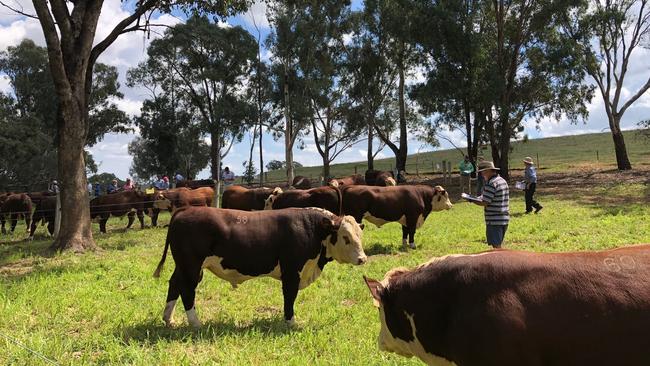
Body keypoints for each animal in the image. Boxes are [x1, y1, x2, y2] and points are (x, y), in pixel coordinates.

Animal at [153, 206, 364, 328]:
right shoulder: (291, 272)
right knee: (187, 290)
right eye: (345, 237)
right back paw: (196, 323)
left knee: (174, 284)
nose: (362, 259)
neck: (313, 229)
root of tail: (185, 210)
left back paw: (169, 319)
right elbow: (290, 296)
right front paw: (291, 322)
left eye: (359, 235)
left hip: (184, 266)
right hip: (192, 266)